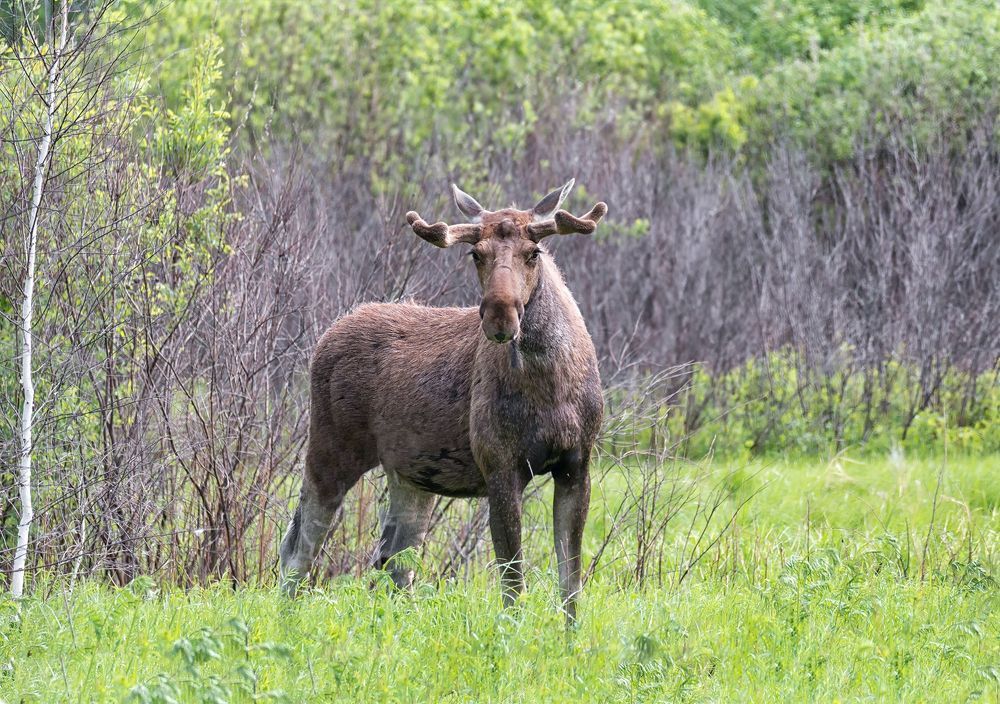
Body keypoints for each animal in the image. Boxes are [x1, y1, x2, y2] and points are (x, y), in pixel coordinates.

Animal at [279, 180, 607, 619]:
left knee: (392, 563)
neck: (551, 384)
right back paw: (284, 619)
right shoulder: (500, 465)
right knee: (300, 546)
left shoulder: (576, 464)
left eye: (533, 252)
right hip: (331, 448)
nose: (500, 316)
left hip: (410, 476)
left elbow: (570, 584)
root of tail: (326, 337)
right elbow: (513, 582)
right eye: (475, 253)